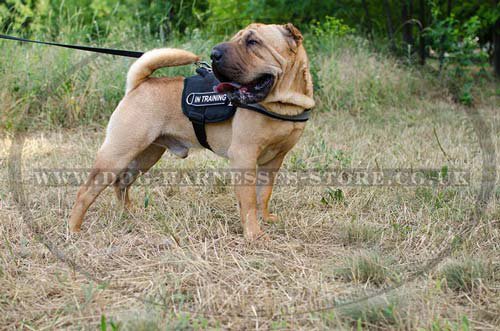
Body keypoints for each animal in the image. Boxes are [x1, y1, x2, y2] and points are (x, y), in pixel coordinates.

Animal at [68, 24, 314, 241]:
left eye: (253, 42)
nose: (215, 53)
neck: (283, 104)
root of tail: (139, 84)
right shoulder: (244, 156)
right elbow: (249, 201)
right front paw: (254, 235)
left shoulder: (274, 160)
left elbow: (264, 194)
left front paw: (265, 219)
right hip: (117, 153)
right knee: (85, 192)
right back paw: (74, 230)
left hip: (146, 155)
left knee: (121, 183)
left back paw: (129, 212)